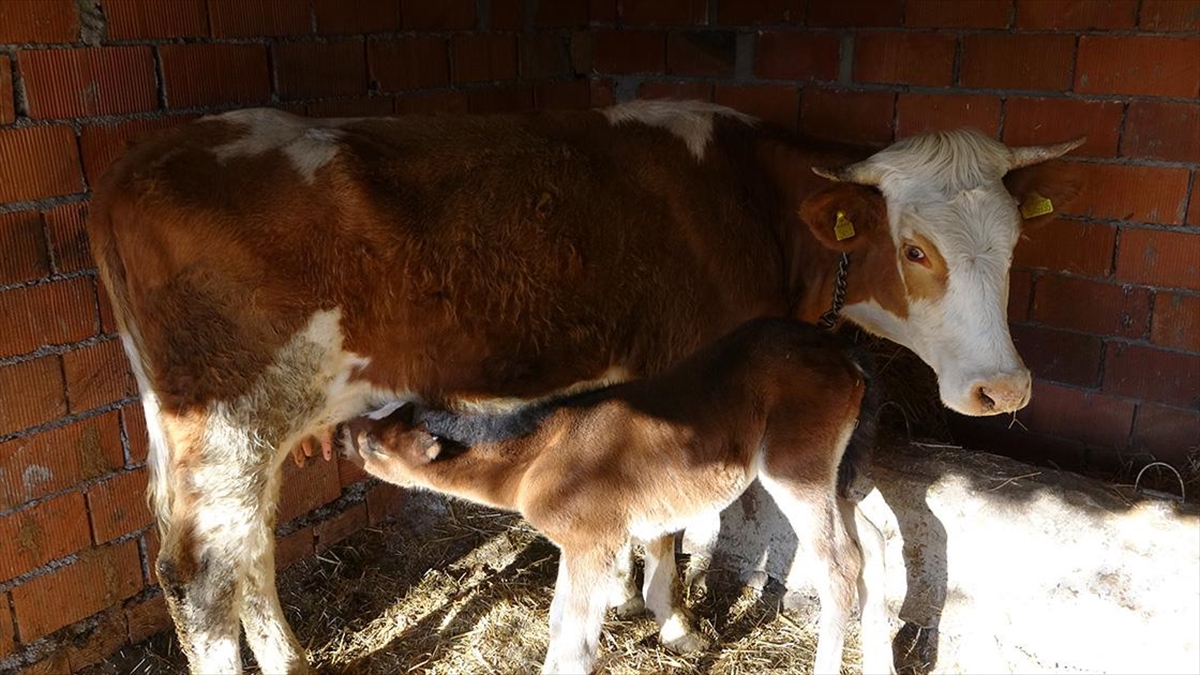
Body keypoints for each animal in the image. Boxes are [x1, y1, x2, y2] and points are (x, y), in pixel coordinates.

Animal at [338, 317, 892, 672]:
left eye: (375, 446)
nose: (342, 433)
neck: (540, 451)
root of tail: (845, 354)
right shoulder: (588, 542)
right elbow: (570, 620)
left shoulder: (591, 541)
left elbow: (572, 648)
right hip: (834, 473)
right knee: (873, 545)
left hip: (794, 467)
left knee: (840, 562)